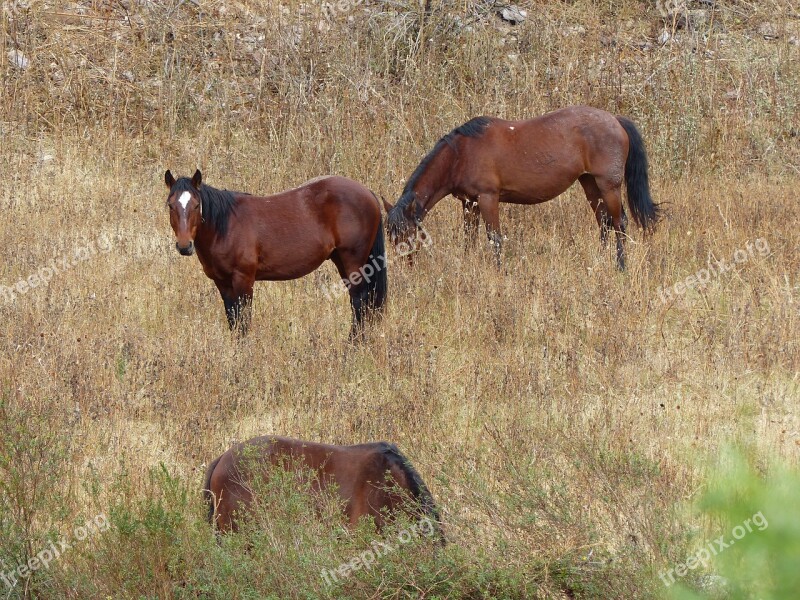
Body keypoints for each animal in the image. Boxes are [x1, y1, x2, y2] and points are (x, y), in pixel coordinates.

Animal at [163, 170, 388, 338]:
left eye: (196, 205)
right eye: (171, 205)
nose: (184, 246)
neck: (225, 227)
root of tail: (368, 193)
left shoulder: (244, 280)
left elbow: (244, 321)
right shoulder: (223, 283)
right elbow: (233, 319)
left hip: (353, 261)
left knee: (359, 302)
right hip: (341, 260)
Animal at [384, 105, 660, 270]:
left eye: (408, 233)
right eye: (390, 234)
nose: (405, 264)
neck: (461, 154)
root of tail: (615, 119)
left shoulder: (487, 198)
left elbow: (494, 239)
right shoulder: (469, 203)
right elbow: (469, 239)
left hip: (608, 185)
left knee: (620, 222)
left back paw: (620, 266)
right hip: (590, 184)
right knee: (603, 221)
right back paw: (599, 261)